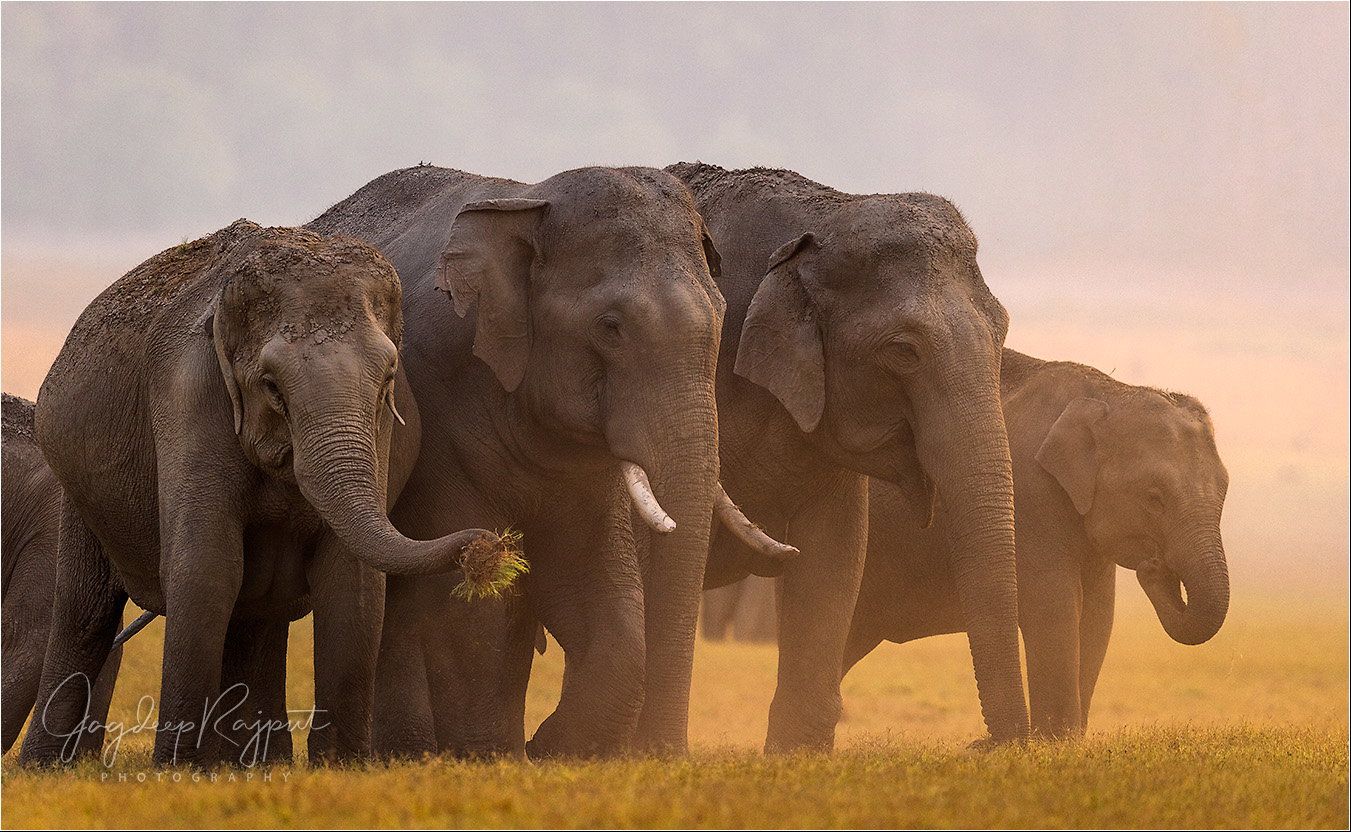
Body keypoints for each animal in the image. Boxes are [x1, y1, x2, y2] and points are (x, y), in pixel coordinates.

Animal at [19, 220, 505, 768]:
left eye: (387, 381)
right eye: (271, 386)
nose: (490, 546)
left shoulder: (381, 430)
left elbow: (352, 577)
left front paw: (341, 768)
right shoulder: (190, 395)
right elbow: (206, 567)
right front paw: (176, 769)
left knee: (257, 615)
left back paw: (254, 765)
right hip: (76, 485)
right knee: (86, 613)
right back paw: (45, 768)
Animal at [307, 164, 786, 759]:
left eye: (722, 316)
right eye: (610, 326)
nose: (663, 753)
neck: (528, 204)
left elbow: (605, 595)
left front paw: (549, 748)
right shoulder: (442, 416)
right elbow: (472, 607)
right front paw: (495, 756)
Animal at [845, 348, 1230, 737]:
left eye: (1225, 490)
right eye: (1154, 497)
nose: (1154, 566)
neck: (1109, 393)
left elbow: (1098, 615)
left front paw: (1067, 740)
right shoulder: (1031, 499)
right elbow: (1055, 607)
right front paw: (1053, 740)